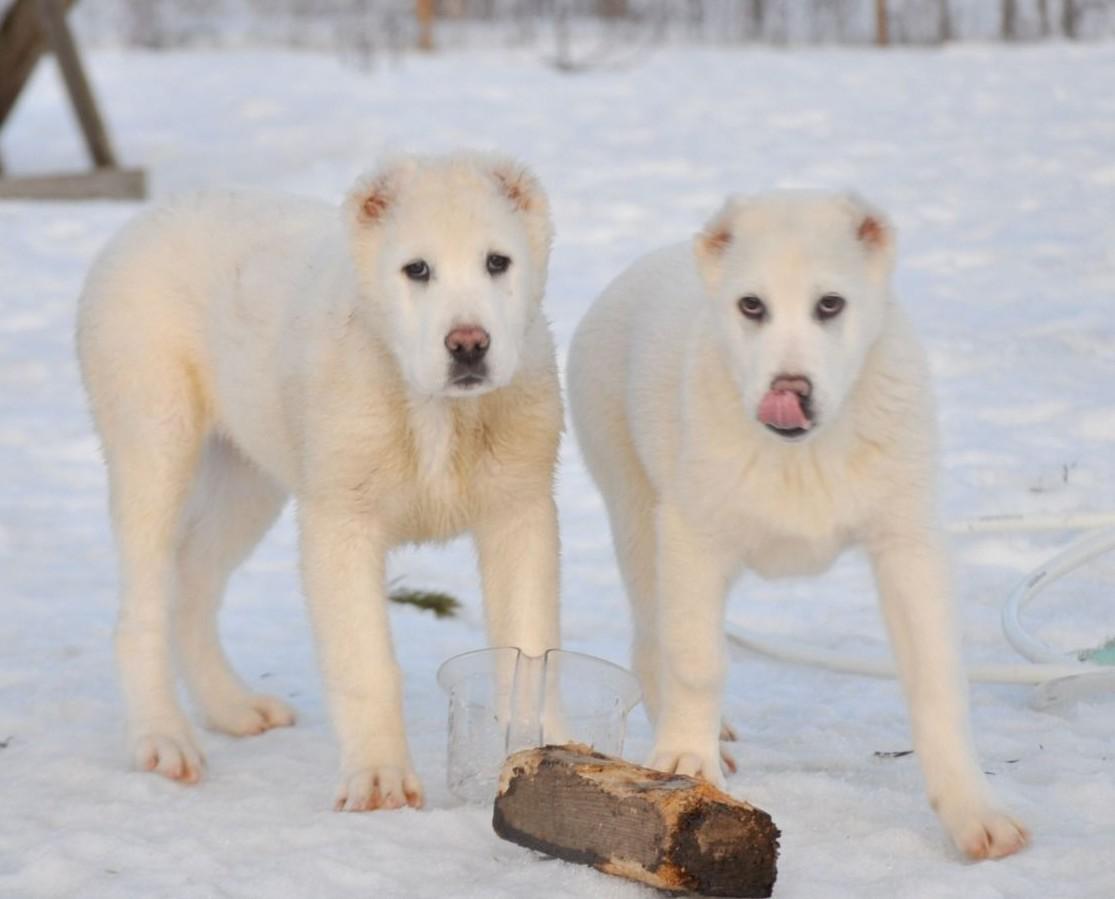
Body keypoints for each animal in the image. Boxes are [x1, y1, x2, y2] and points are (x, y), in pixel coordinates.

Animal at [77, 151, 561, 812]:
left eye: (497, 262)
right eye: (416, 269)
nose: (468, 344)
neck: (436, 412)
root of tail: (147, 216)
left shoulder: (522, 513)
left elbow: (530, 650)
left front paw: (548, 759)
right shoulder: (340, 524)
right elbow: (365, 663)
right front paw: (380, 780)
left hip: (247, 476)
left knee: (193, 581)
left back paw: (232, 708)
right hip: (152, 437)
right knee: (143, 605)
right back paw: (163, 739)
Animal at [570, 191, 1030, 865]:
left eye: (830, 305)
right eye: (751, 306)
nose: (790, 389)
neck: (803, 453)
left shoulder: (908, 544)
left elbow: (937, 682)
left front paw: (976, 815)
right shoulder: (692, 536)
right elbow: (696, 660)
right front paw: (687, 763)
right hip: (636, 513)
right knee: (655, 638)